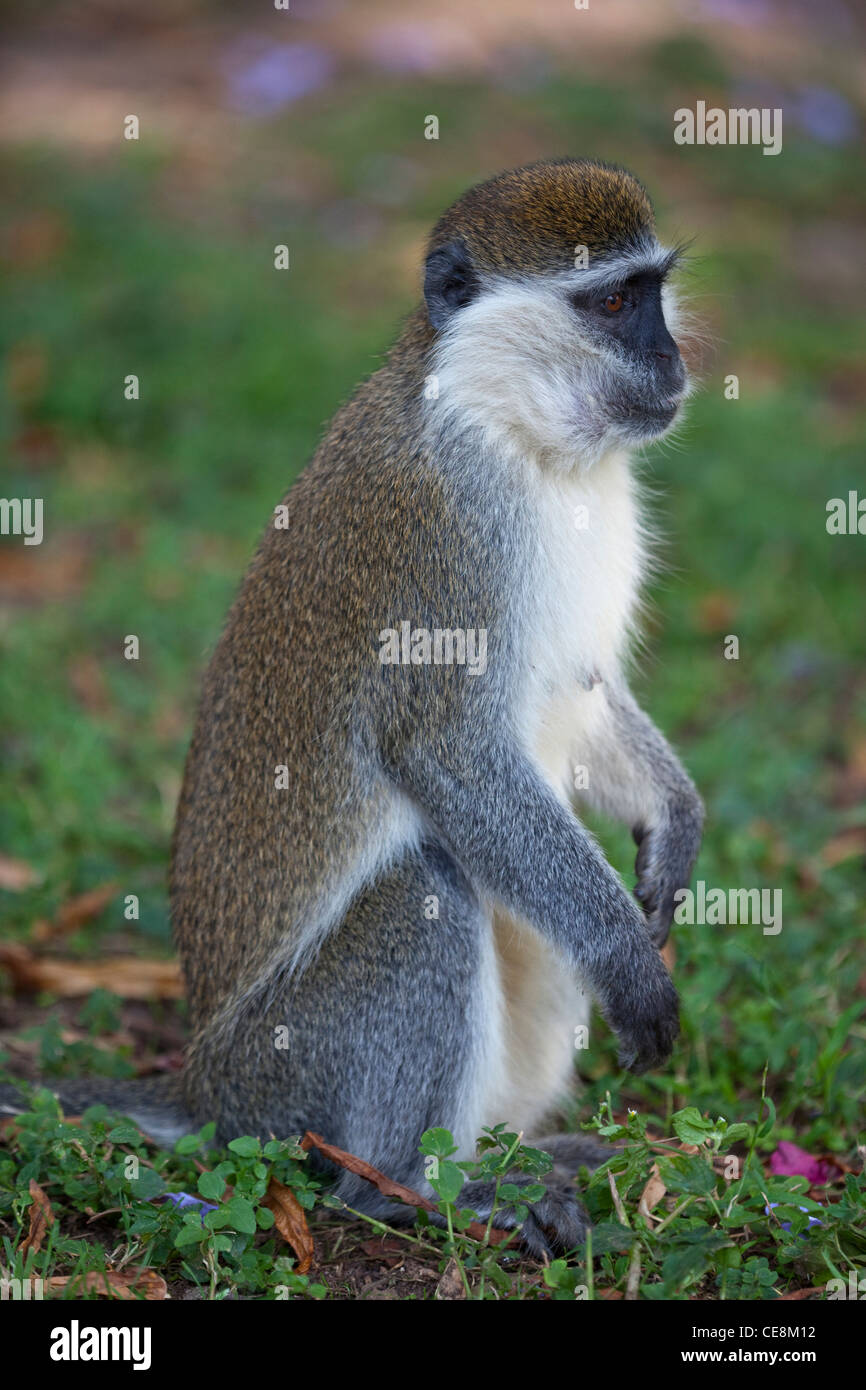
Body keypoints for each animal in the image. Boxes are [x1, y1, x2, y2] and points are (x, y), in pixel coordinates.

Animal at [1, 160, 704, 1257]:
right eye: (610, 304)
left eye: (651, 292)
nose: (671, 360)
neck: (514, 433)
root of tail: (204, 1090)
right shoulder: (441, 541)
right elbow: (446, 751)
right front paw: (629, 965)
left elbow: (587, 699)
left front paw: (675, 825)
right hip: (289, 1075)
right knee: (424, 891)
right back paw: (418, 1187)